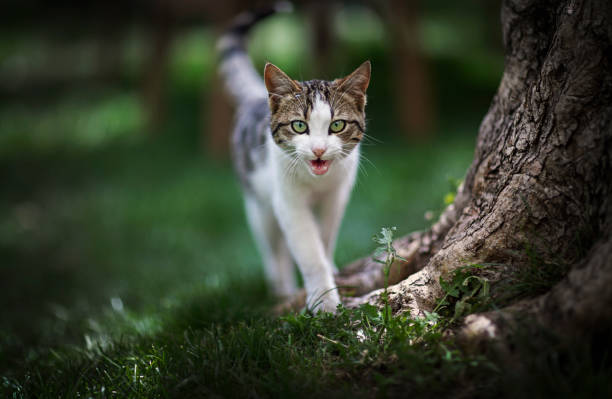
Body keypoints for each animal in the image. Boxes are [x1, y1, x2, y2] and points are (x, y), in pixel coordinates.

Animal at [218, 4, 370, 314]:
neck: (316, 182)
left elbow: (325, 236)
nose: (319, 150)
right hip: (258, 202)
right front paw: (324, 300)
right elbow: (307, 248)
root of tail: (257, 97)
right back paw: (282, 289)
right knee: (272, 248)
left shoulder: (337, 194)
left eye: (337, 125)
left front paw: (330, 268)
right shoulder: (288, 201)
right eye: (299, 126)